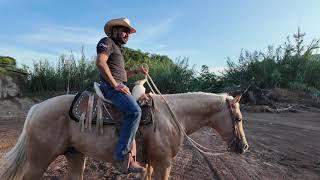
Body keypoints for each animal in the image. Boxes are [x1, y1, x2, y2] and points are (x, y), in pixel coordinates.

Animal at [0, 92, 249, 179]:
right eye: (238, 119)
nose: (244, 147)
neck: (173, 115)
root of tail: (36, 108)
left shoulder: (150, 164)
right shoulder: (163, 165)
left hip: (75, 156)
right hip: (38, 161)